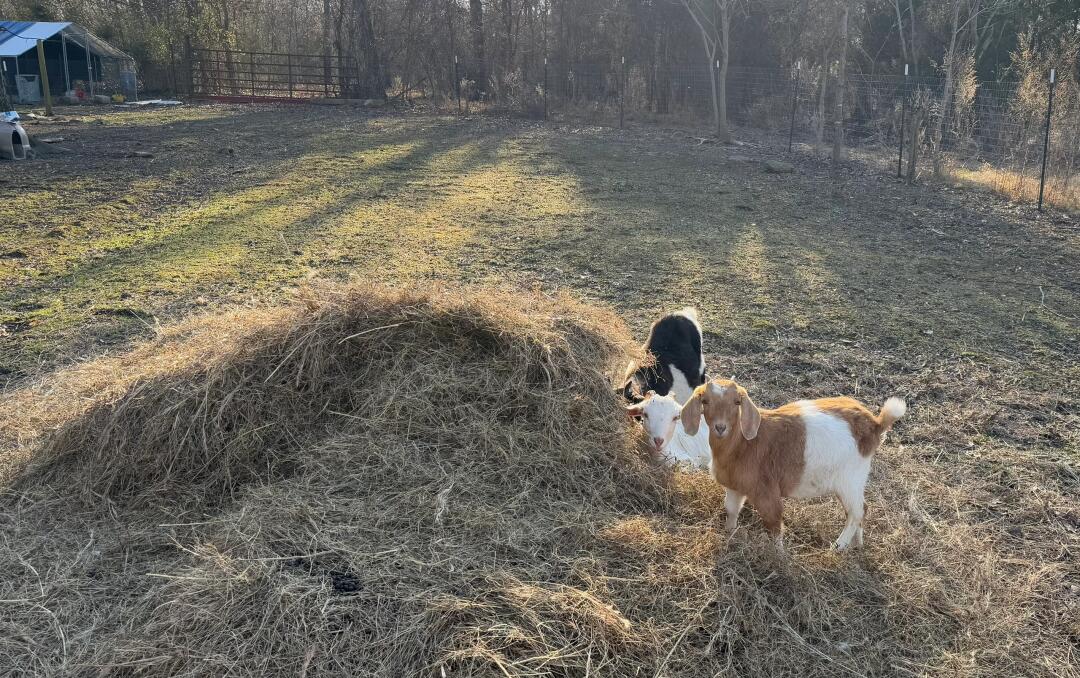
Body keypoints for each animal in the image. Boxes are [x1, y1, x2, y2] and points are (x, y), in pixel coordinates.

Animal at [680, 378, 906, 550]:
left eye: (737, 402)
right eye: (705, 401)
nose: (720, 427)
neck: (744, 443)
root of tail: (876, 424)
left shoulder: (766, 492)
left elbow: (774, 523)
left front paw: (778, 556)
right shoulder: (735, 488)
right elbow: (731, 511)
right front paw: (730, 535)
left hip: (850, 478)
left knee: (857, 512)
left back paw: (838, 547)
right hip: (853, 482)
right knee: (860, 509)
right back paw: (857, 544)